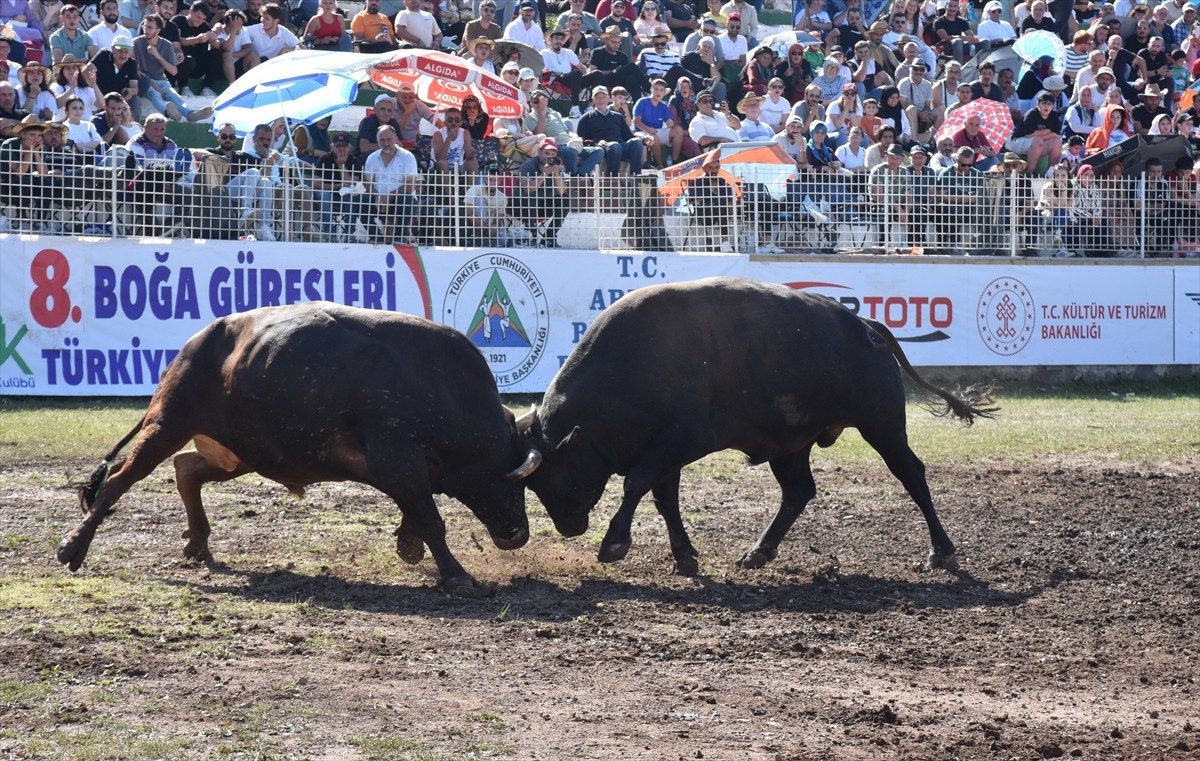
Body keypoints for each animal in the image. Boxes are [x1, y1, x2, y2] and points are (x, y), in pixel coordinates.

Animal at [57, 302, 540, 592]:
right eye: (514, 483)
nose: (517, 534)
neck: (443, 385)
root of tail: (195, 345)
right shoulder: (395, 459)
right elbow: (430, 518)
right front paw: (456, 575)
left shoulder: (410, 471)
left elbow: (418, 511)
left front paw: (410, 546)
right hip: (167, 423)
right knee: (120, 481)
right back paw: (72, 548)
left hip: (239, 453)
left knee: (186, 469)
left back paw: (197, 543)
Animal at [520, 276, 998, 571]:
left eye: (557, 475)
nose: (568, 527)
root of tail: (865, 324)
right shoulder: (665, 452)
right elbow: (664, 499)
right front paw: (684, 556)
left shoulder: (683, 440)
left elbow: (637, 483)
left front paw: (614, 543)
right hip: (792, 445)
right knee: (799, 491)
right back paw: (759, 550)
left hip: (882, 426)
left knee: (911, 474)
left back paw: (942, 552)